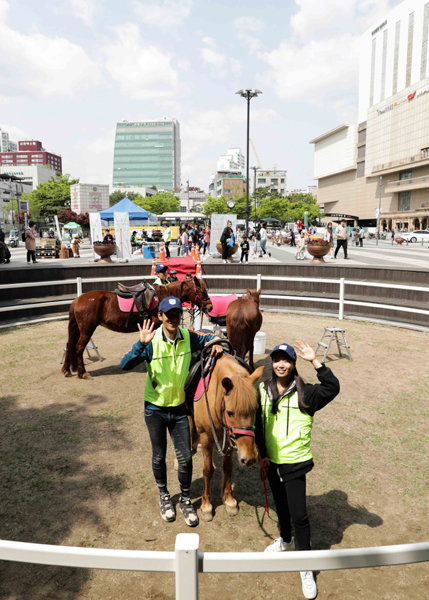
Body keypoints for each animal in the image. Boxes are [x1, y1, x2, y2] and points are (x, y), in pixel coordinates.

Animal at [61, 274, 212, 378]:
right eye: (202, 291)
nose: (210, 307)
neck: (164, 297)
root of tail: (77, 300)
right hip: (87, 330)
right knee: (78, 347)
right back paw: (83, 373)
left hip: (77, 329)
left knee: (69, 344)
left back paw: (67, 370)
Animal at [192, 352, 262, 520]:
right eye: (230, 412)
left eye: (255, 409)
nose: (249, 459)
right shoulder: (206, 438)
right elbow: (207, 470)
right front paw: (206, 506)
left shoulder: (229, 439)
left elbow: (228, 467)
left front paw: (229, 499)